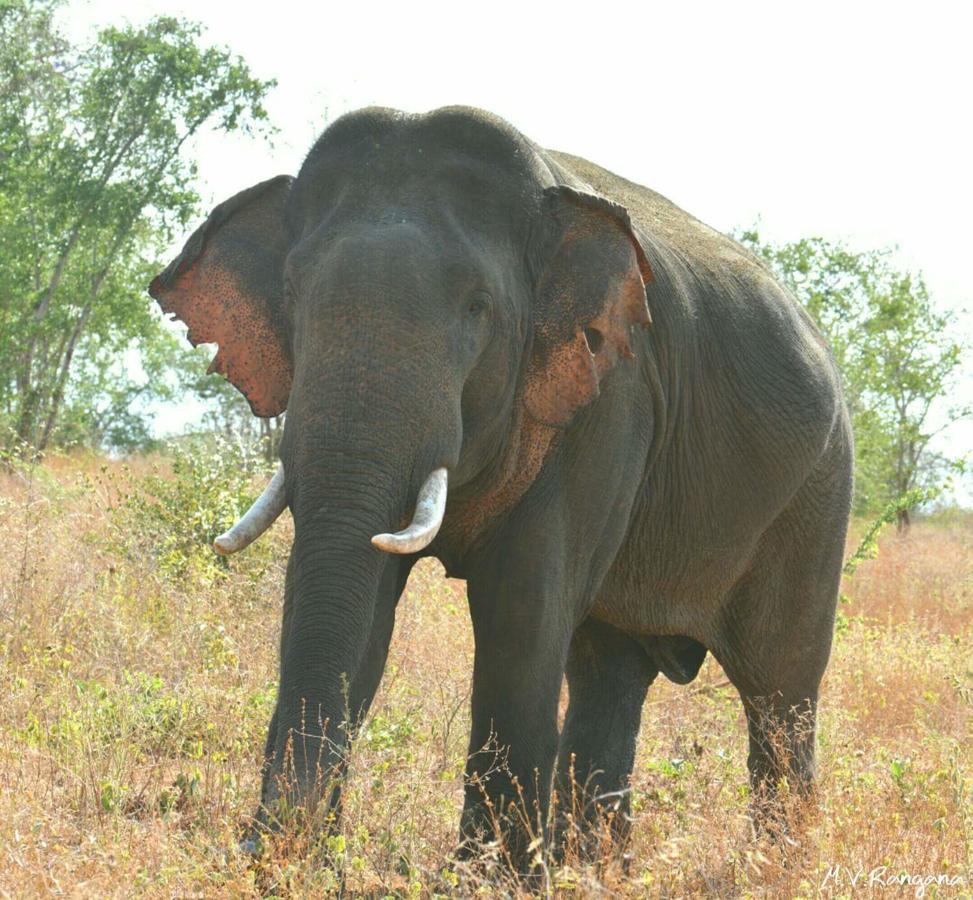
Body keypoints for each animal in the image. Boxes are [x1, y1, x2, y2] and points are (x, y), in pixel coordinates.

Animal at [146, 107, 852, 872]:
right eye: (291, 296)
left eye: (477, 307)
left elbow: (521, 606)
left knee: (780, 693)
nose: (253, 844)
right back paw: (593, 869)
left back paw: (776, 865)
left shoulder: (607, 393)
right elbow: (364, 605)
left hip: (817, 494)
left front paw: (488, 878)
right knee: (611, 671)